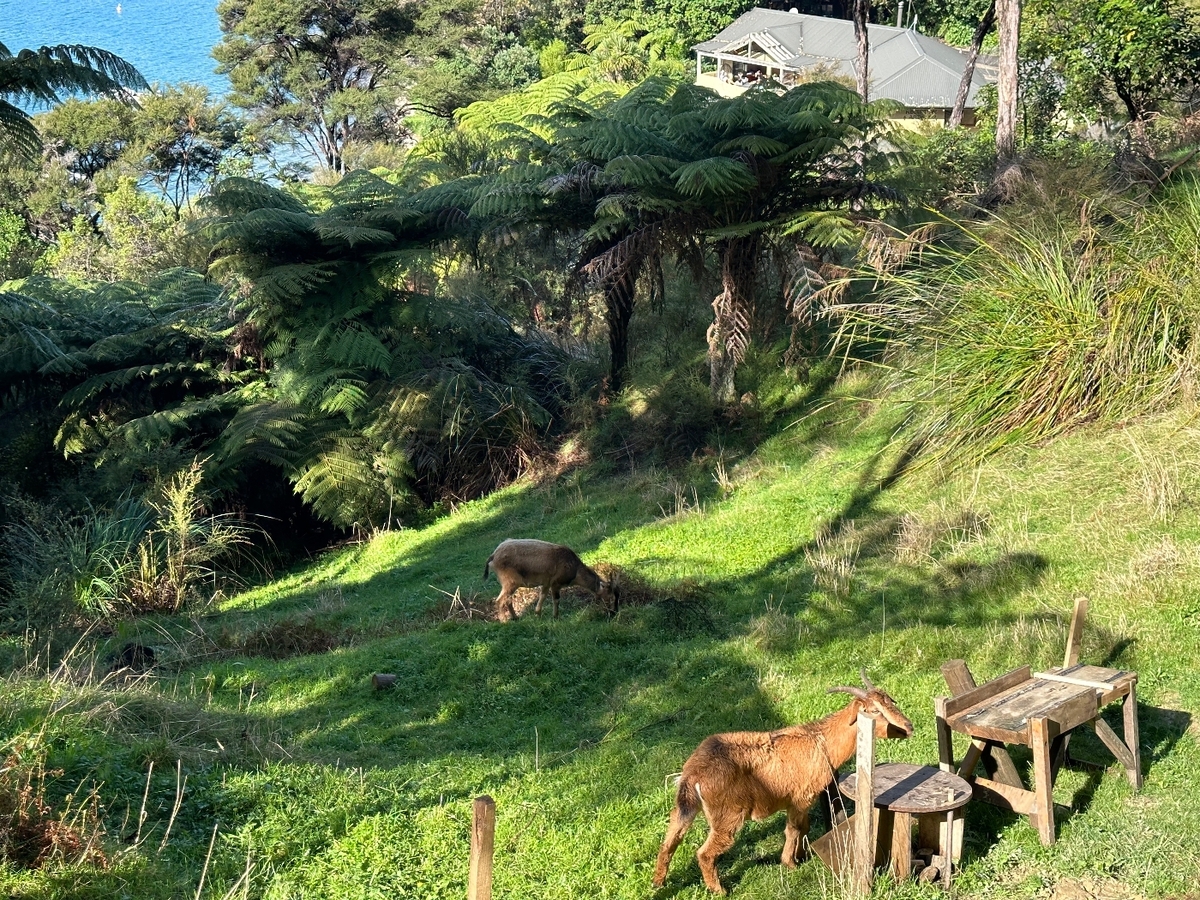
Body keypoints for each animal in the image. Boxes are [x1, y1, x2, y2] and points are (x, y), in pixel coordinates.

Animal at [483, 538, 619, 621]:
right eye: (610, 597)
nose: (613, 612)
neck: (575, 571)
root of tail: (492, 556)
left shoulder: (546, 582)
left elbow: (543, 595)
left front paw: (538, 614)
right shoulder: (556, 582)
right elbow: (556, 599)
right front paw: (555, 616)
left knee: (508, 599)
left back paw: (516, 618)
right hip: (510, 580)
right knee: (500, 600)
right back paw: (504, 621)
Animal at [652, 671, 913, 895]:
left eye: (891, 701)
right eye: (873, 711)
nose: (908, 727)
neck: (822, 741)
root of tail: (694, 773)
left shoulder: (799, 801)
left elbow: (804, 827)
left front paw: (801, 855)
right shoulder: (801, 798)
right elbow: (794, 829)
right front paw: (790, 863)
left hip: (684, 807)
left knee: (669, 842)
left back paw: (658, 882)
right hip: (727, 816)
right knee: (705, 853)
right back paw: (719, 889)